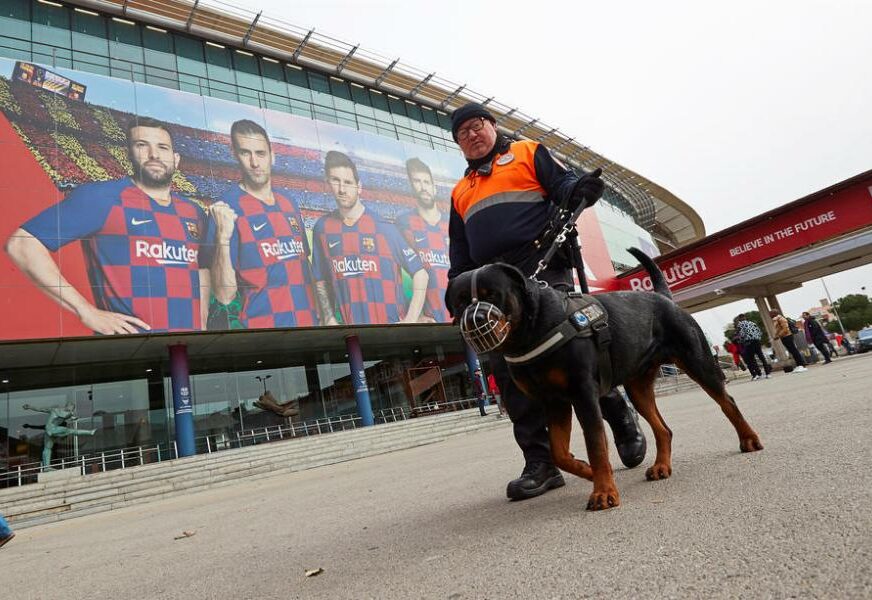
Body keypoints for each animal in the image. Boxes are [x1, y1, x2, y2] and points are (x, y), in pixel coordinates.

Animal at [450, 248, 764, 510]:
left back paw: (748, 438)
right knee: (663, 429)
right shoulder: (553, 402)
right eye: (460, 302)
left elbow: (596, 445)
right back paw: (661, 466)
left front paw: (603, 491)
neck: (531, 330)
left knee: (726, 401)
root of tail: (662, 296)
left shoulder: (583, 394)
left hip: (697, 360)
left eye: (493, 295)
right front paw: (588, 471)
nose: (475, 319)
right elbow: (558, 452)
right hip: (638, 387)